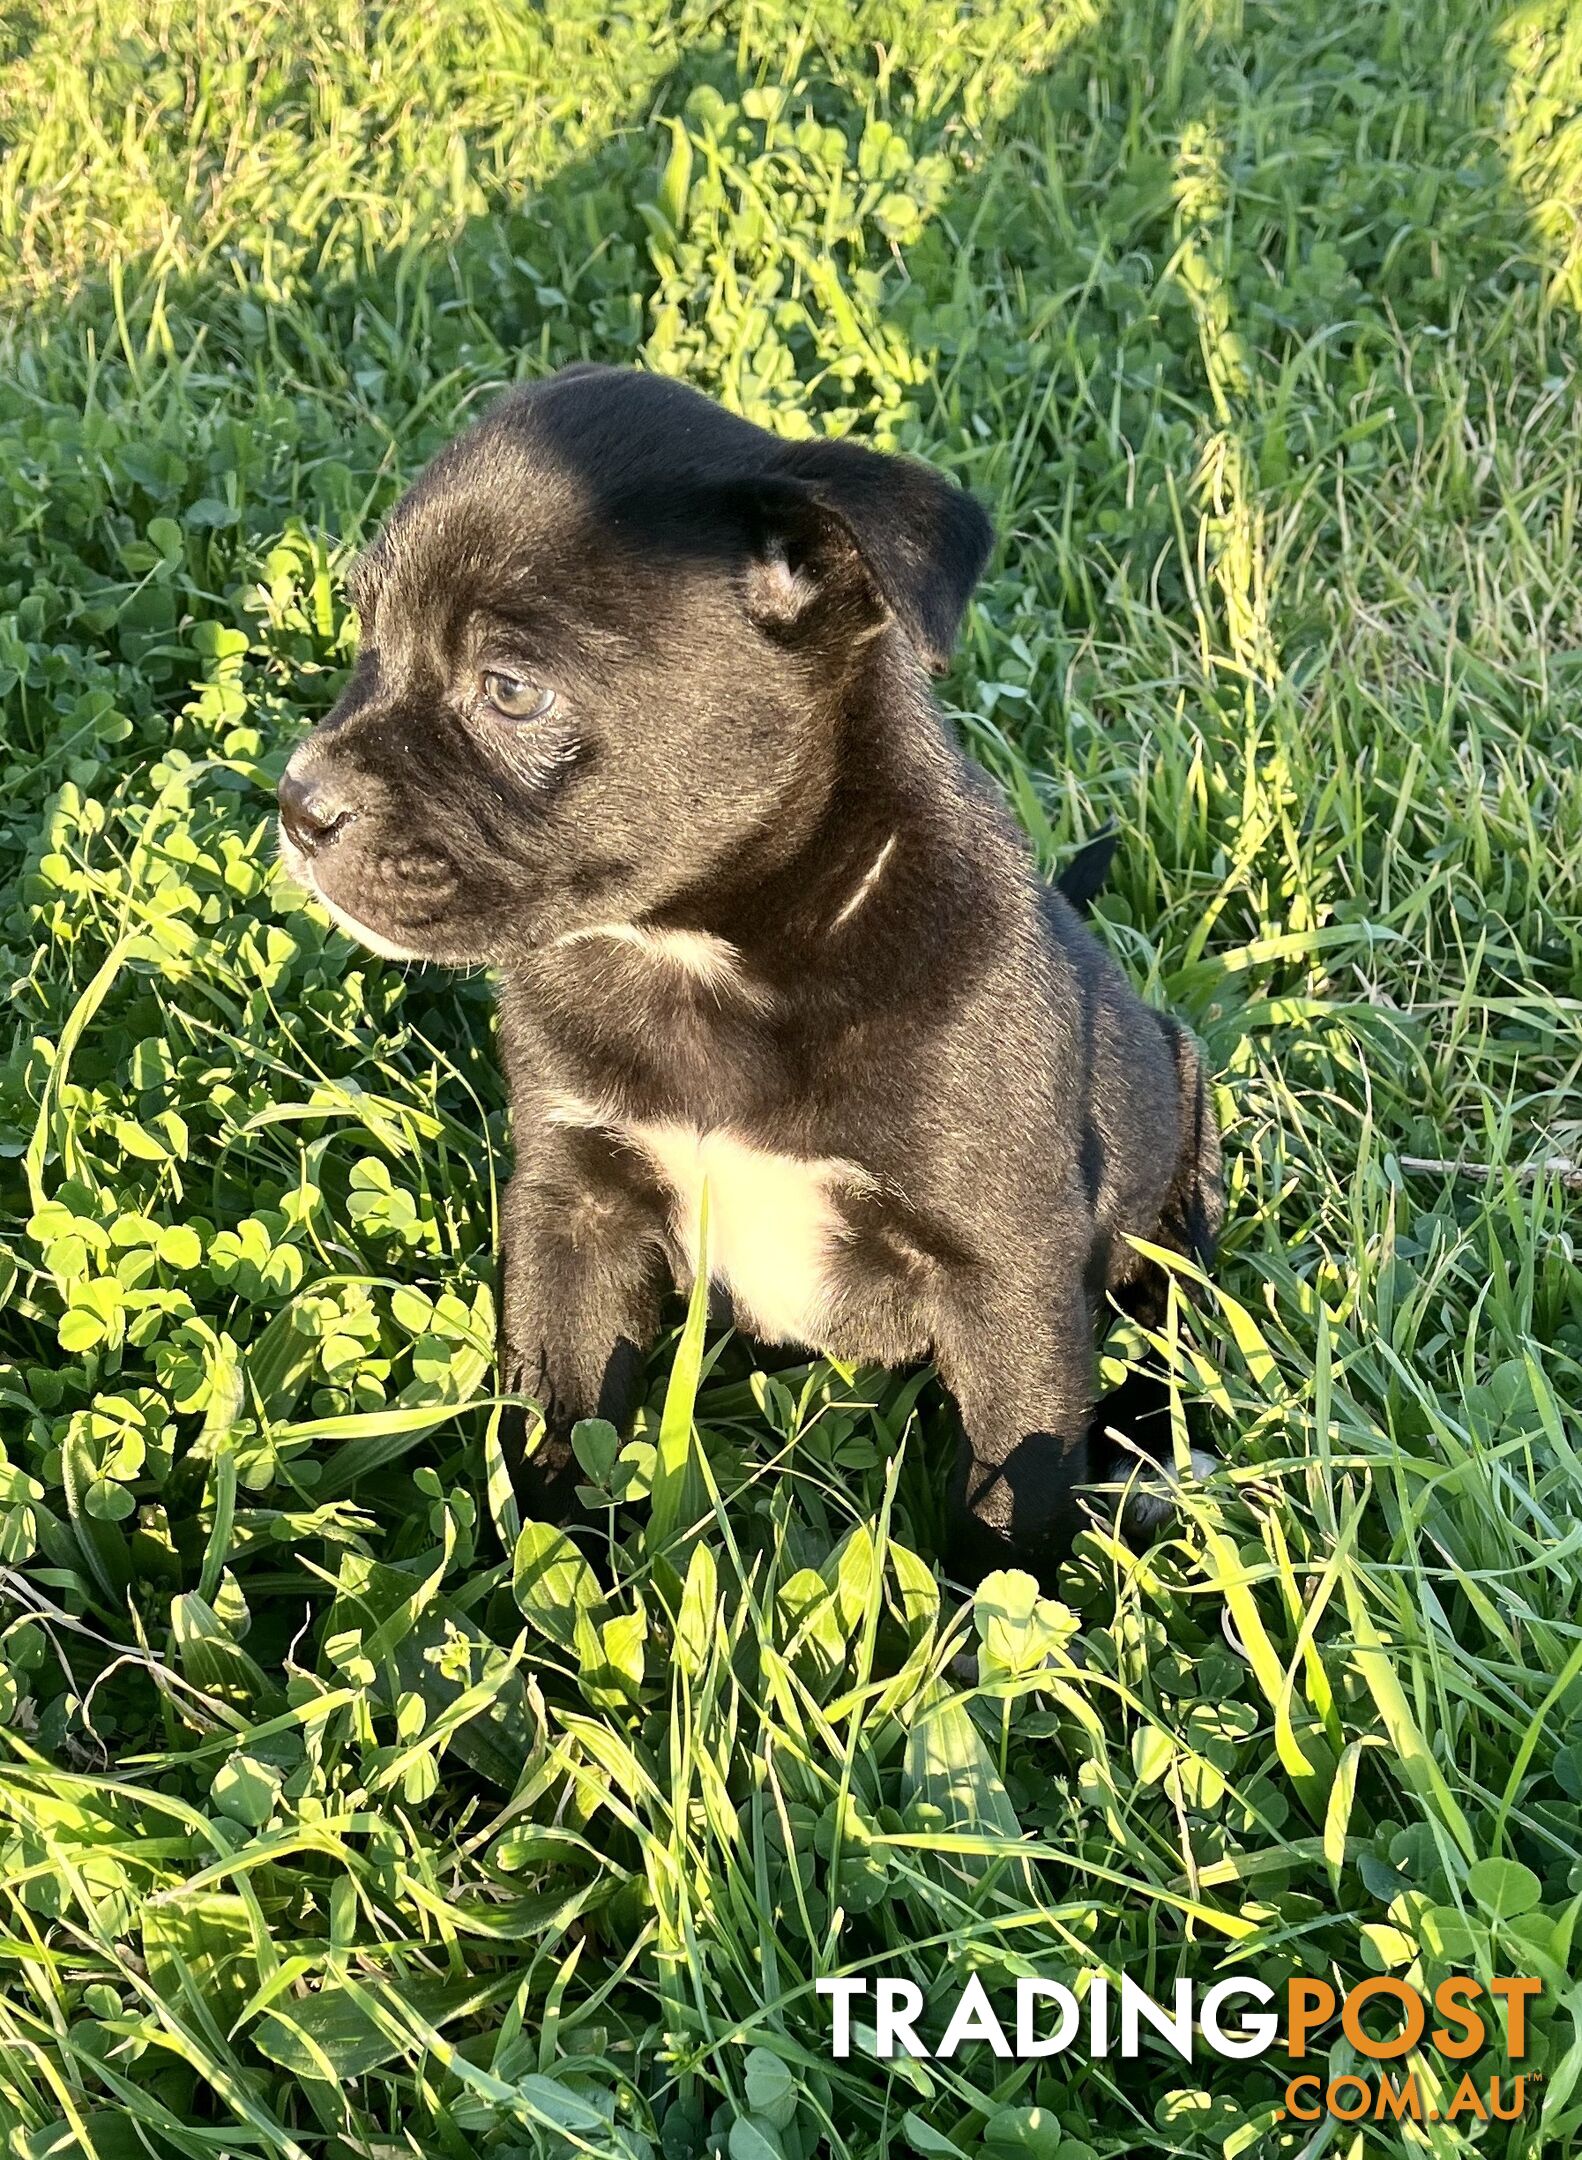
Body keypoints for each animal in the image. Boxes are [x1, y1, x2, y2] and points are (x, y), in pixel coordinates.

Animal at [280, 362, 1227, 1589]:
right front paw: (544, 1596)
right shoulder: (573, 1211)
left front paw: (983, 1626)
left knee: (1174, 1295)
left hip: (1180, 1130)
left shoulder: (1005, 1273)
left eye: (511, 690)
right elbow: (555, 1425)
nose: (297, 806)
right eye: (364, 631)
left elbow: (1009, 1502)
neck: (704, 958)